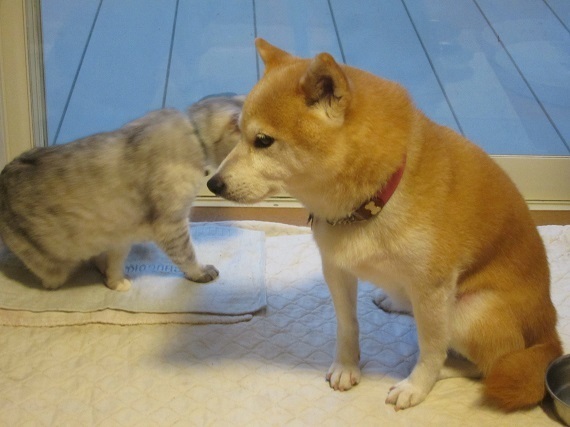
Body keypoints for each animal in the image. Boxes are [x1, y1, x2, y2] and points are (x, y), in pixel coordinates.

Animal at [206, 39, 560, 412]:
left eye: (263, 141)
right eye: (238, 132)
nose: (213, 184)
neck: (374, 200)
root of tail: (549, 329)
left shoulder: (434, 289)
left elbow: (431, 348)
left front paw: (417, 386)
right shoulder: (336, 269)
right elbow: (347, 326)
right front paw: (347, 367)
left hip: (469, 310)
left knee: (487, 364)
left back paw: (445, 367)